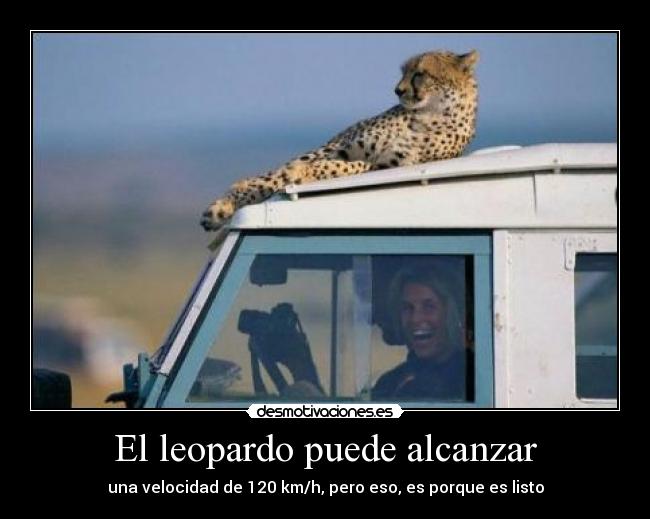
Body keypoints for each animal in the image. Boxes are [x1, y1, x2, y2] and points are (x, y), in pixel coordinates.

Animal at [200, 49, 479, 231]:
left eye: (420, 73)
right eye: (404, 72)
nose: (397, 90)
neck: (430, 113)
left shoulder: (384, 165)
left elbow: (351, 166)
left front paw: (303, 173)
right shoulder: (344, 147)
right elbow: (330, 164)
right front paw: (299, 172)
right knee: (266, 177)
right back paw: (222, 207)